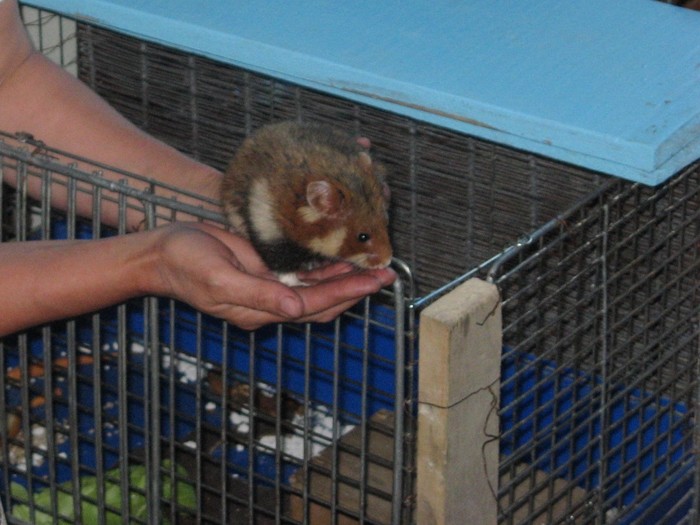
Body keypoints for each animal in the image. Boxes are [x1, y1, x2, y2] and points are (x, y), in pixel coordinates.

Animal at [221, 121, 392, 286]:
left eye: (386, 222)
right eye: (362, 237)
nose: (387, 262)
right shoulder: (268, 230)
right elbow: (282, 266)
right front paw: (301, 284)